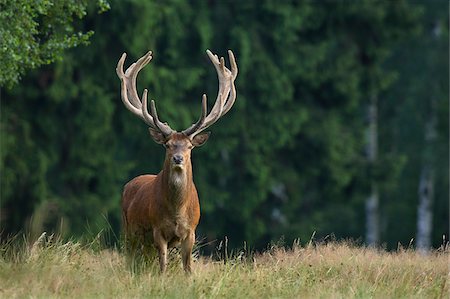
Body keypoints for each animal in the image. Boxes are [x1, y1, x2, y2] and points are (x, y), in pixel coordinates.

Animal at [117, 49, 239, 274]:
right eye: (168, 145)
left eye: (189, 146)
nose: (178, 158)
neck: (176, 212)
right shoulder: (157, 230)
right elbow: (163, 266)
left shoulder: (191, 232)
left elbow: (187, 267)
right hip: (129, 229)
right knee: (130, 258)